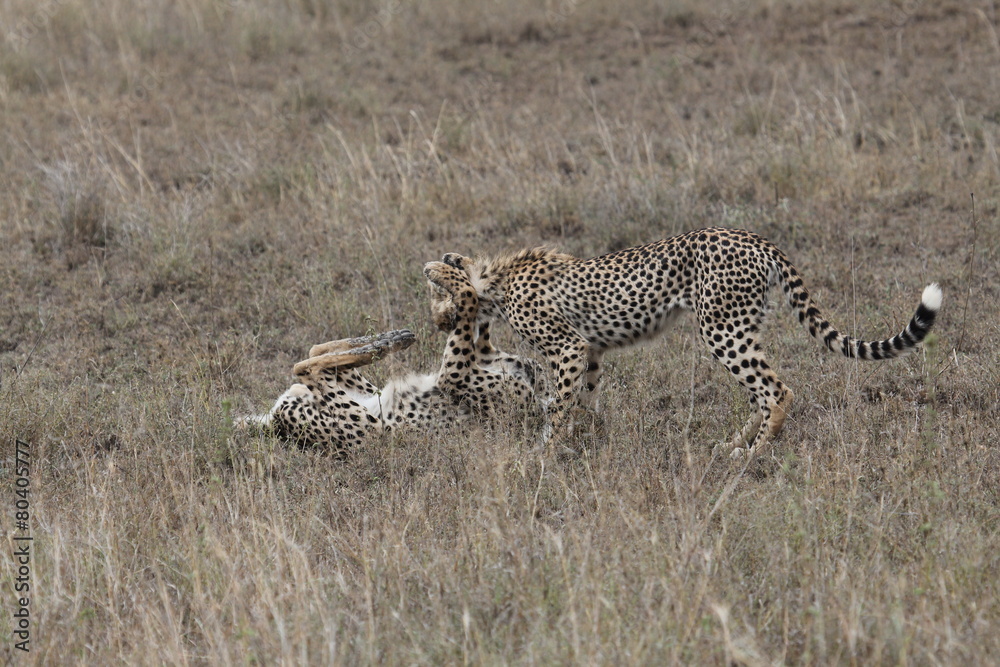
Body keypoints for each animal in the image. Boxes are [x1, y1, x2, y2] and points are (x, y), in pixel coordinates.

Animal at [238, 262, 543, 454]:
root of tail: (276, 427)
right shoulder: (476, 362)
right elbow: (477, 318)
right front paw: (456, 268)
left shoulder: (454, 376)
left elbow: (470, 302)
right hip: (361, 399)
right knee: (313, 356)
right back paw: (389, 340)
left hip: (370, 423)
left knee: (306, 366)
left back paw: (383, 345)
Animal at [433, 227, 942, 458]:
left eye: (436, 293)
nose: (437, 322)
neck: (494, 281)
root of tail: (750, 236)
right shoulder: (590, 352)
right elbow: (583, 399)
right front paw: (586, 439)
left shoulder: (569, 348)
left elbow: (559, 405)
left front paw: (546, 452)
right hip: (736, 327)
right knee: (761, 393)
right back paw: (735, 441)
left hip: (721, 329)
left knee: (777, 391)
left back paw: (751, 453)